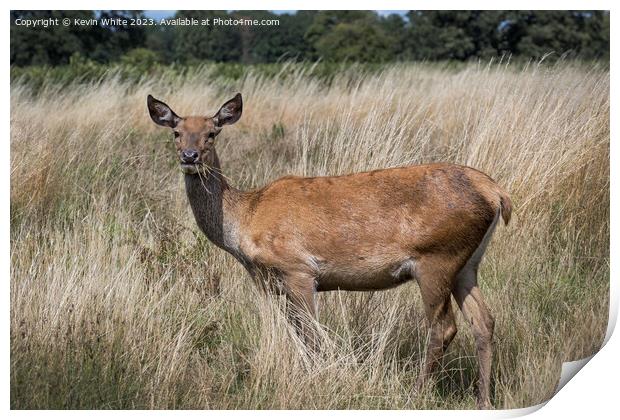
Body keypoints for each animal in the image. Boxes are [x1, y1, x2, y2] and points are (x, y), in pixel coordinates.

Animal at [148, 92, 512, 410]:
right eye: (177, 133)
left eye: (211, 133)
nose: (189, 157)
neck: (244, 222)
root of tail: (496, 193)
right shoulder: (273, 283)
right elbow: (298, 334)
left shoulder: (298, 269)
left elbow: (312, 335)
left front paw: (318, 381)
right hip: (467, 264)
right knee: (484, 321)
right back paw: (484, 400)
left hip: (437, 257)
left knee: (443, 326)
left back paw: (418, 394)